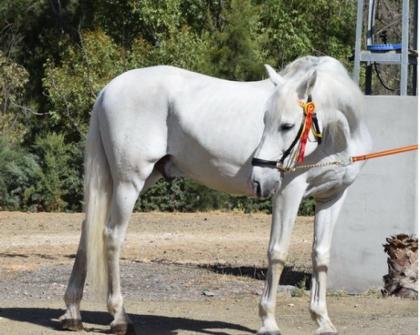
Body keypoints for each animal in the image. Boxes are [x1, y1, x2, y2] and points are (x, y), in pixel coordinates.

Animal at [59, 56, 370, 334]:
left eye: (287, 125)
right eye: (265, 120)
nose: (259, 180)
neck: (336, 139)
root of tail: (108, 89)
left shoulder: (331, 197)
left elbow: (321, 255)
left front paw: (322, 321)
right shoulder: (288, 193)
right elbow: (277, 253)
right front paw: (268, 322)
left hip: (135, 180)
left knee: (89, 228)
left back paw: (73, 312)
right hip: (129, 181)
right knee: (111, 236)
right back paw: (119, 317)